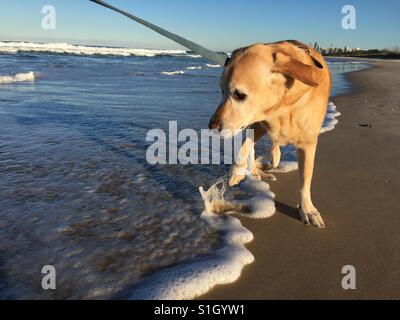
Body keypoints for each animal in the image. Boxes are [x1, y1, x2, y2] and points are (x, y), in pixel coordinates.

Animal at [209, 40, 332, 228]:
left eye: (239, 95)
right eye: (222, 91)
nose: (211, 126)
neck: (283, 107)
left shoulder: (308, 143)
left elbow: (305, 179)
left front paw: (307, 209)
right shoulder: (257, 122)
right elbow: (246, 144)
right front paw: (237, 171)